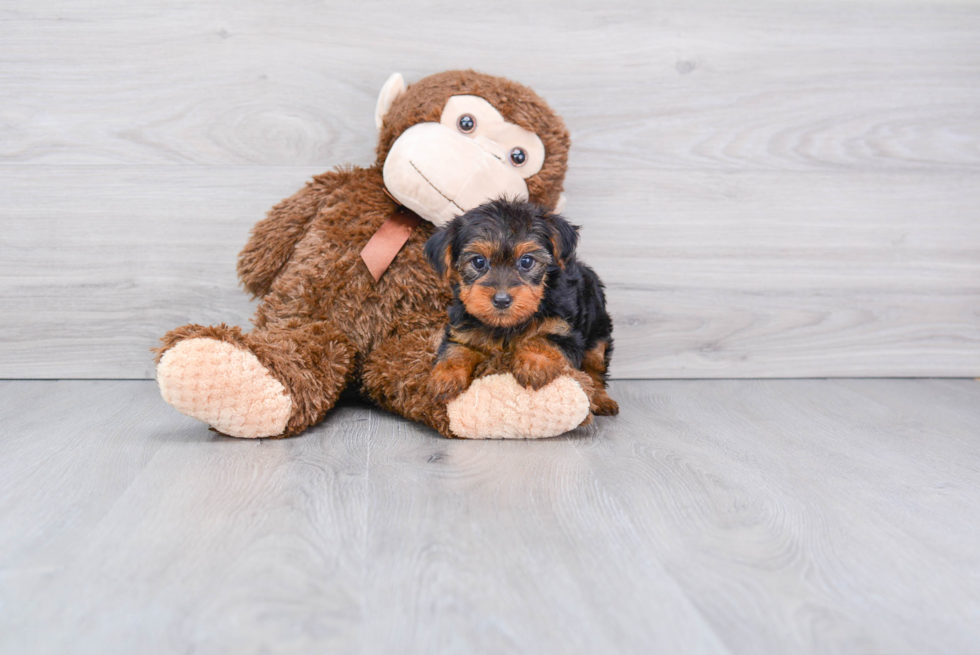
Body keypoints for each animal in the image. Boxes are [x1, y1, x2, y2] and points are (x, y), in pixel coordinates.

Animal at [424, 197, 620, 418]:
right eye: (478, 261)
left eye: (526, 261)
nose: (501, 300)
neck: (507, 326)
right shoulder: (462, 328)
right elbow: (456, 349)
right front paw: (445, 377)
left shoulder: (564, 330)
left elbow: (544, 338)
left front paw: (533, 364)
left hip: (598, 332)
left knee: (595, 368)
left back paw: (601, 400)